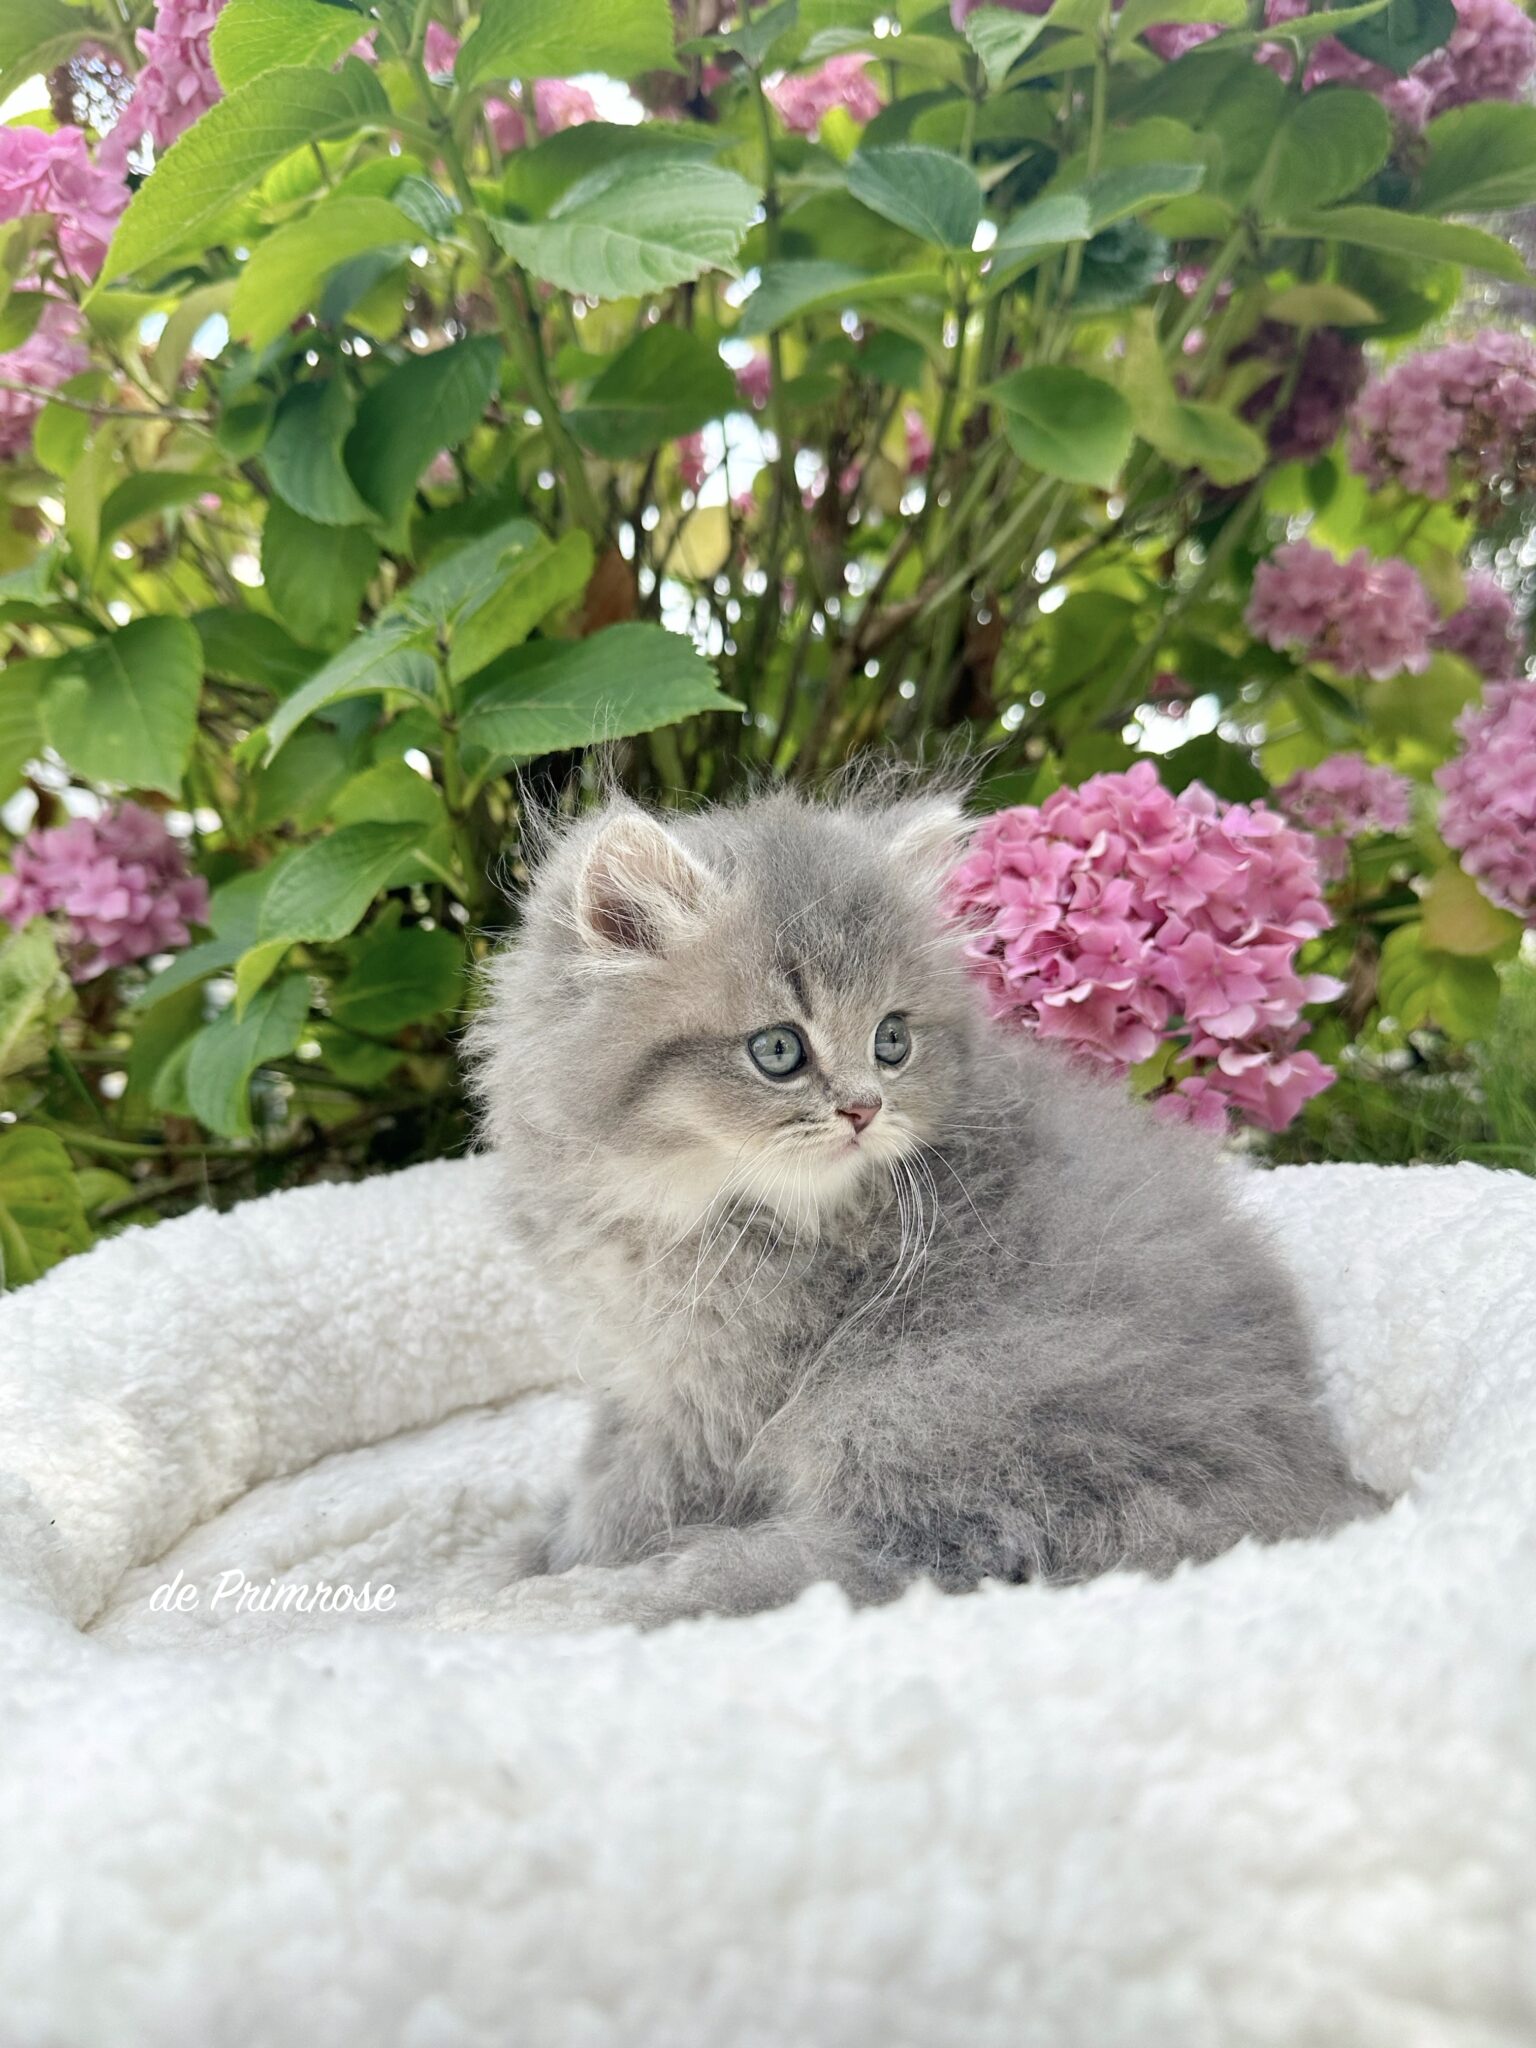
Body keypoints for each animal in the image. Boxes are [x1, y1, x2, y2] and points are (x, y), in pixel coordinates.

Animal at [468, 786, 1368, 1630]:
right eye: (778, 1050)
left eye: (890, 1040)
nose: (864, 1110)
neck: (686, 1201)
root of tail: (1287, 1475)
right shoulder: (638, 1377)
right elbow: (600, 1469)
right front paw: (534, 1545)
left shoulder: (719, 1406)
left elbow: (629, 1502)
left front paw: (542, 1574)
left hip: (914, 1398)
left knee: (909, 1557)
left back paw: (625, 1603)